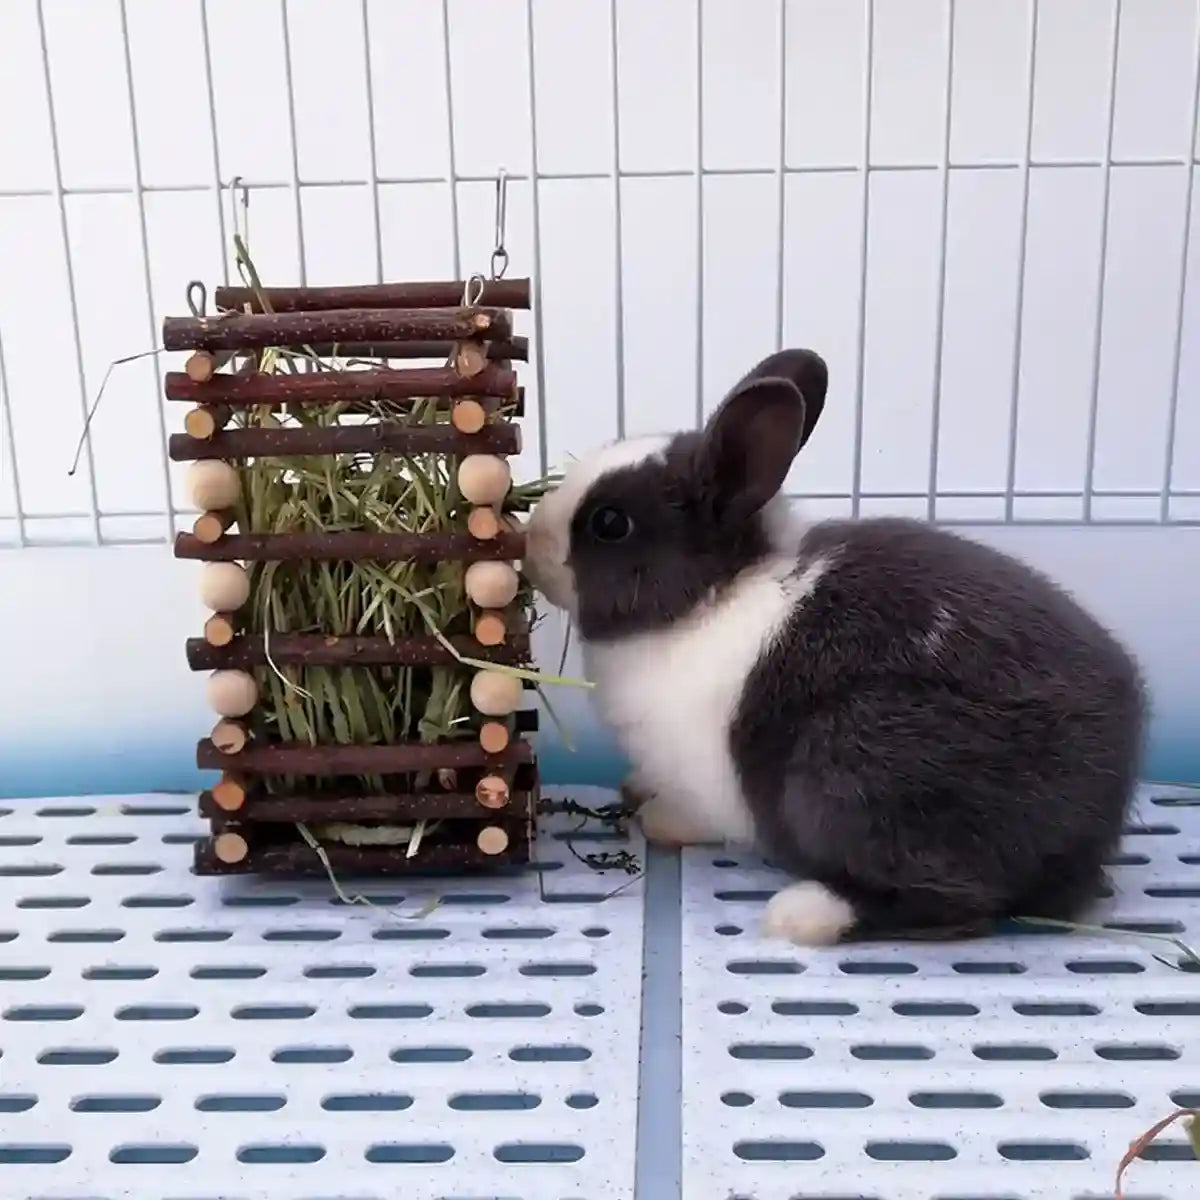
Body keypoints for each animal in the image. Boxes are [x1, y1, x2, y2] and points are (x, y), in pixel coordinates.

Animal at [523, 349, 1146, 945]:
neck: (709, 596)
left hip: (857, 767)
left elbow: (697, 814)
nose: (529, 545)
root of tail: (1095, 819)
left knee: (956, 903)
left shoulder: (708, 781)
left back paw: (803, 915)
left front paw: (659, 820)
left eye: (610, 523)